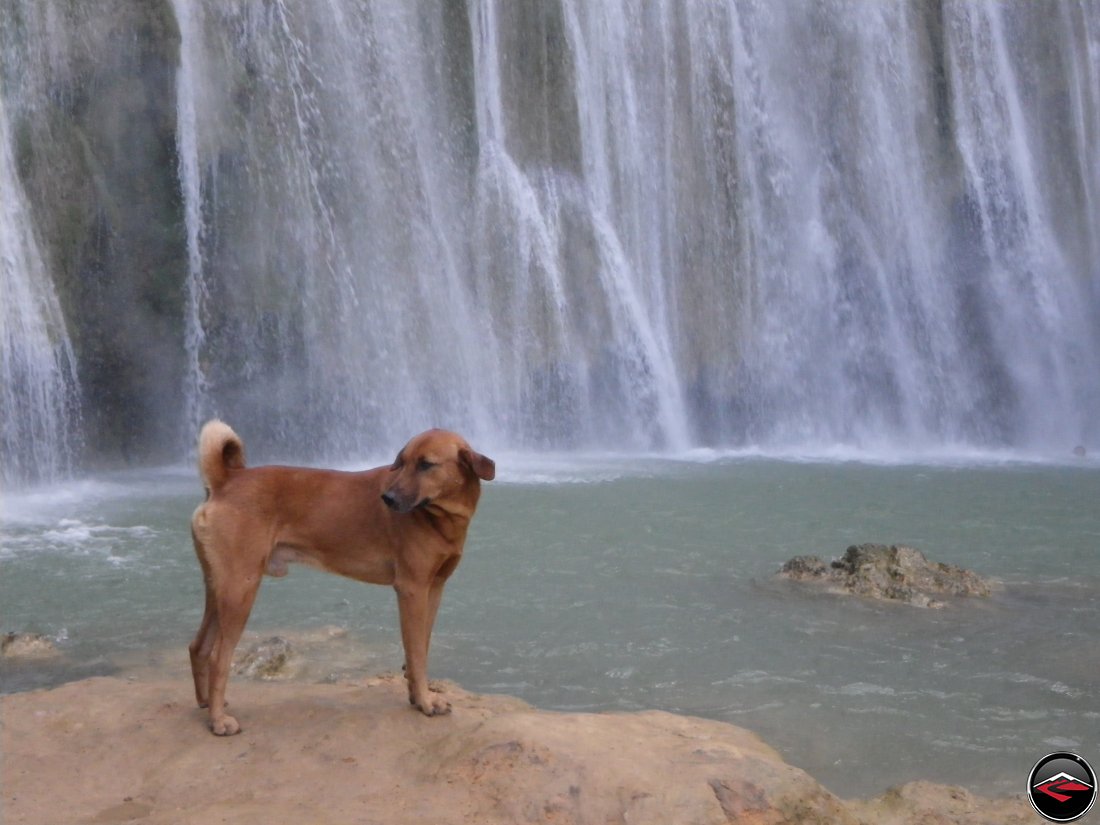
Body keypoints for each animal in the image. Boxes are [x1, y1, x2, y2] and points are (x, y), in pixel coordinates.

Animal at [189, 420, 495, 734]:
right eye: (403, 462)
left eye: (425, 465)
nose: (387, 498)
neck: (440, 517)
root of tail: (226, 480)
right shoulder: (412, 590)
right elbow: (416, 653)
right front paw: (424, 701)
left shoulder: (434, 589)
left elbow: (421, 647)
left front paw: (416, 696)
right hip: (240, 589)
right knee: (218, 657)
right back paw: (218, 720)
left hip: (219, 588)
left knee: (199, 647)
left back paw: (207, 704)